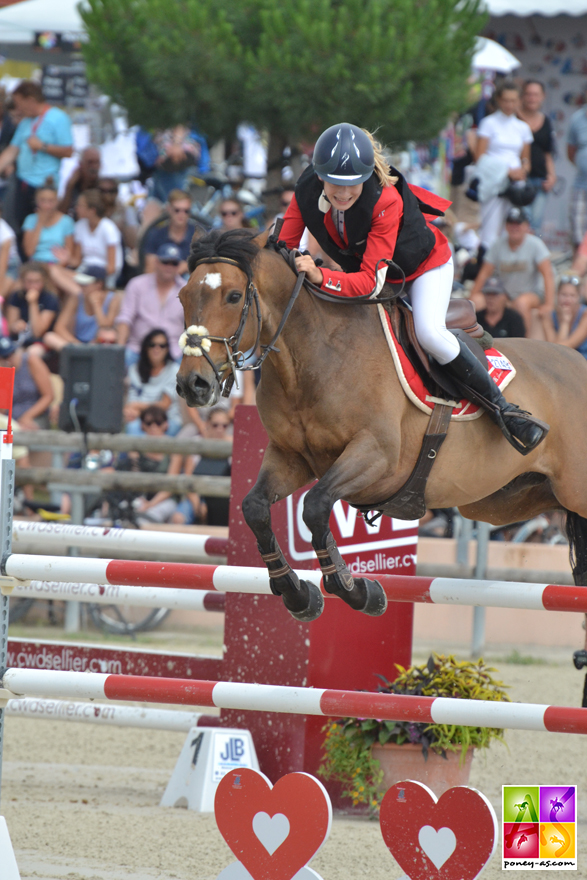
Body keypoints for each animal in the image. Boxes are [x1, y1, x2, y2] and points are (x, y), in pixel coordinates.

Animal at [177, 225, 587, 624]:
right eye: (183, 296)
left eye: (233, 296)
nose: (192, 384)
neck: (312, 356)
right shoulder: (290, 458)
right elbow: (256, 508)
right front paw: (298, 594)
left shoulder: (377, 456)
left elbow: (315, 506)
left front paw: (355, 589)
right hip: (504, 501)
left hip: (570, 493)